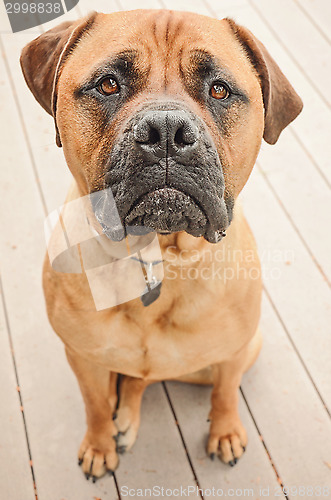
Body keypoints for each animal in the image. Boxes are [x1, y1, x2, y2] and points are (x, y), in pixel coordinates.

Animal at [18, 8, 304, 480]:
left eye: (219, 89)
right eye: (108, 83)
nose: (166, 131)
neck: (157, 255)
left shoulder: (234, 352)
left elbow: (226, 391)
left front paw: (225, 430)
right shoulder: (82, 357)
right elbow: (94, 404)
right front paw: (99, 442)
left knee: (151, 376)